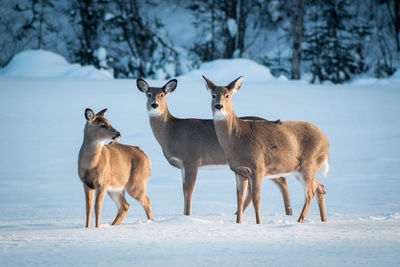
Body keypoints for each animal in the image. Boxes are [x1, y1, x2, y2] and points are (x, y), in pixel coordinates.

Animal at [136, 78, 292, 217]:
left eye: (162, 95)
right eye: (148, 94)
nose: (154, 105)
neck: (172, 131)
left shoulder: (191, 159)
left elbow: (188, 190)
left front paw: (187, 215)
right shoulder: (182, 165)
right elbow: (184, 190)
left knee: (282, 180)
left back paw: (288, 213)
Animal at [205, 76, 330, 225]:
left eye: (227, 95)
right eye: (213, 95)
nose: (219, 106)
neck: (237, 138)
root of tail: (327, 141)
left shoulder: (258, 167)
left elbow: (256, 199)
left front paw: (258, 224)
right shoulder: (239, 171)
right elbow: (239, 199)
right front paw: (238, 223)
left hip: (309, 164)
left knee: (310, 193)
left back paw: (299, 221)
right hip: (301, 169)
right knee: (320, 188)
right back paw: (323, 220)